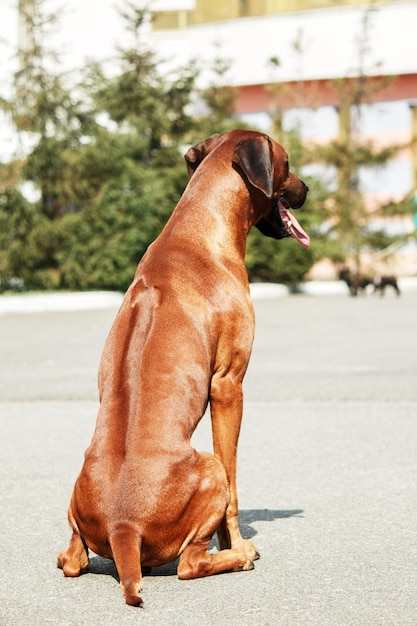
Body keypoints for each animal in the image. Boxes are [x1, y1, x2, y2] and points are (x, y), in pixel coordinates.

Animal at [57, 128, 308, 604]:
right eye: (287, 163)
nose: (307, 189)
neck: (198, 229)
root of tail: (123, 527)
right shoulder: (228, 384)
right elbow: (234, 487)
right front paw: (236, 542)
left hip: (76, 501)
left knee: (73, 561)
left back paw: (69, 554)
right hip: (207, 467)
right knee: (190, 565)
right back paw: (235, 557)